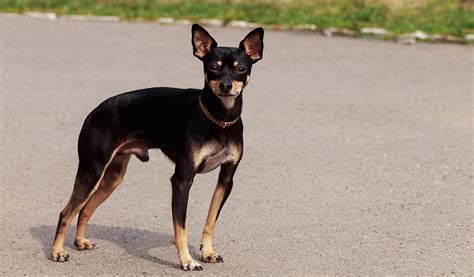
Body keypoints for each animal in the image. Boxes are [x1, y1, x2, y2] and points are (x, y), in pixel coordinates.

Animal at [51, 23, 262, 270]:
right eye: (213, 67)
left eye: (240, 68)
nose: (226, 86)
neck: (219, 120)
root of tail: (94, 112)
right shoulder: (182, 180)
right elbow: (181, 228)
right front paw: (187, 261)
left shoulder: (226, 179)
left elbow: (210, 221)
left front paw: (208, 252)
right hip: (92, 170)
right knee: (67, 212)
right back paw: (57, 251)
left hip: (113, 176)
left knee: (84, 209)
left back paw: (80, 241)